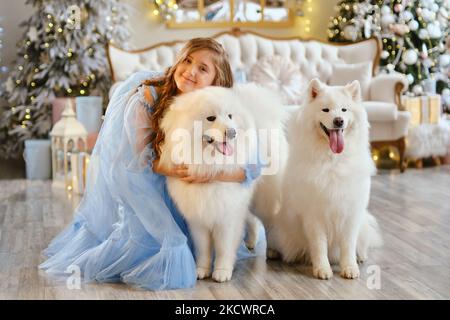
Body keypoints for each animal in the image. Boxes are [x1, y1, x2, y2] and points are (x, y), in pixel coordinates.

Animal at [160, 84, 288, 282]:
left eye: (230, 116)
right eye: (211, 118)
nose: (232, 132)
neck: (212, 166)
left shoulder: (227, 217)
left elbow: (224, 247)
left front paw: (222, 271)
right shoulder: (198, 217)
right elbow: (203, 247)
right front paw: (202, 269)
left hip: (263, 200)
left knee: (268, 222)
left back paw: (272, 249)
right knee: (251, 220)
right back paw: (251, 242)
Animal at [268, 79, 382, 278]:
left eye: (344, 110)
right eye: (325, 110)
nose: (338, 121)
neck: (332, 160)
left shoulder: (351, 213)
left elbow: (348, 245)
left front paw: (349, 268)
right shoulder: (314, 216)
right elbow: (319, 245)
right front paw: (322, 269)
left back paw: (361, 256)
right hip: (283, 230)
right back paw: (274, 252)